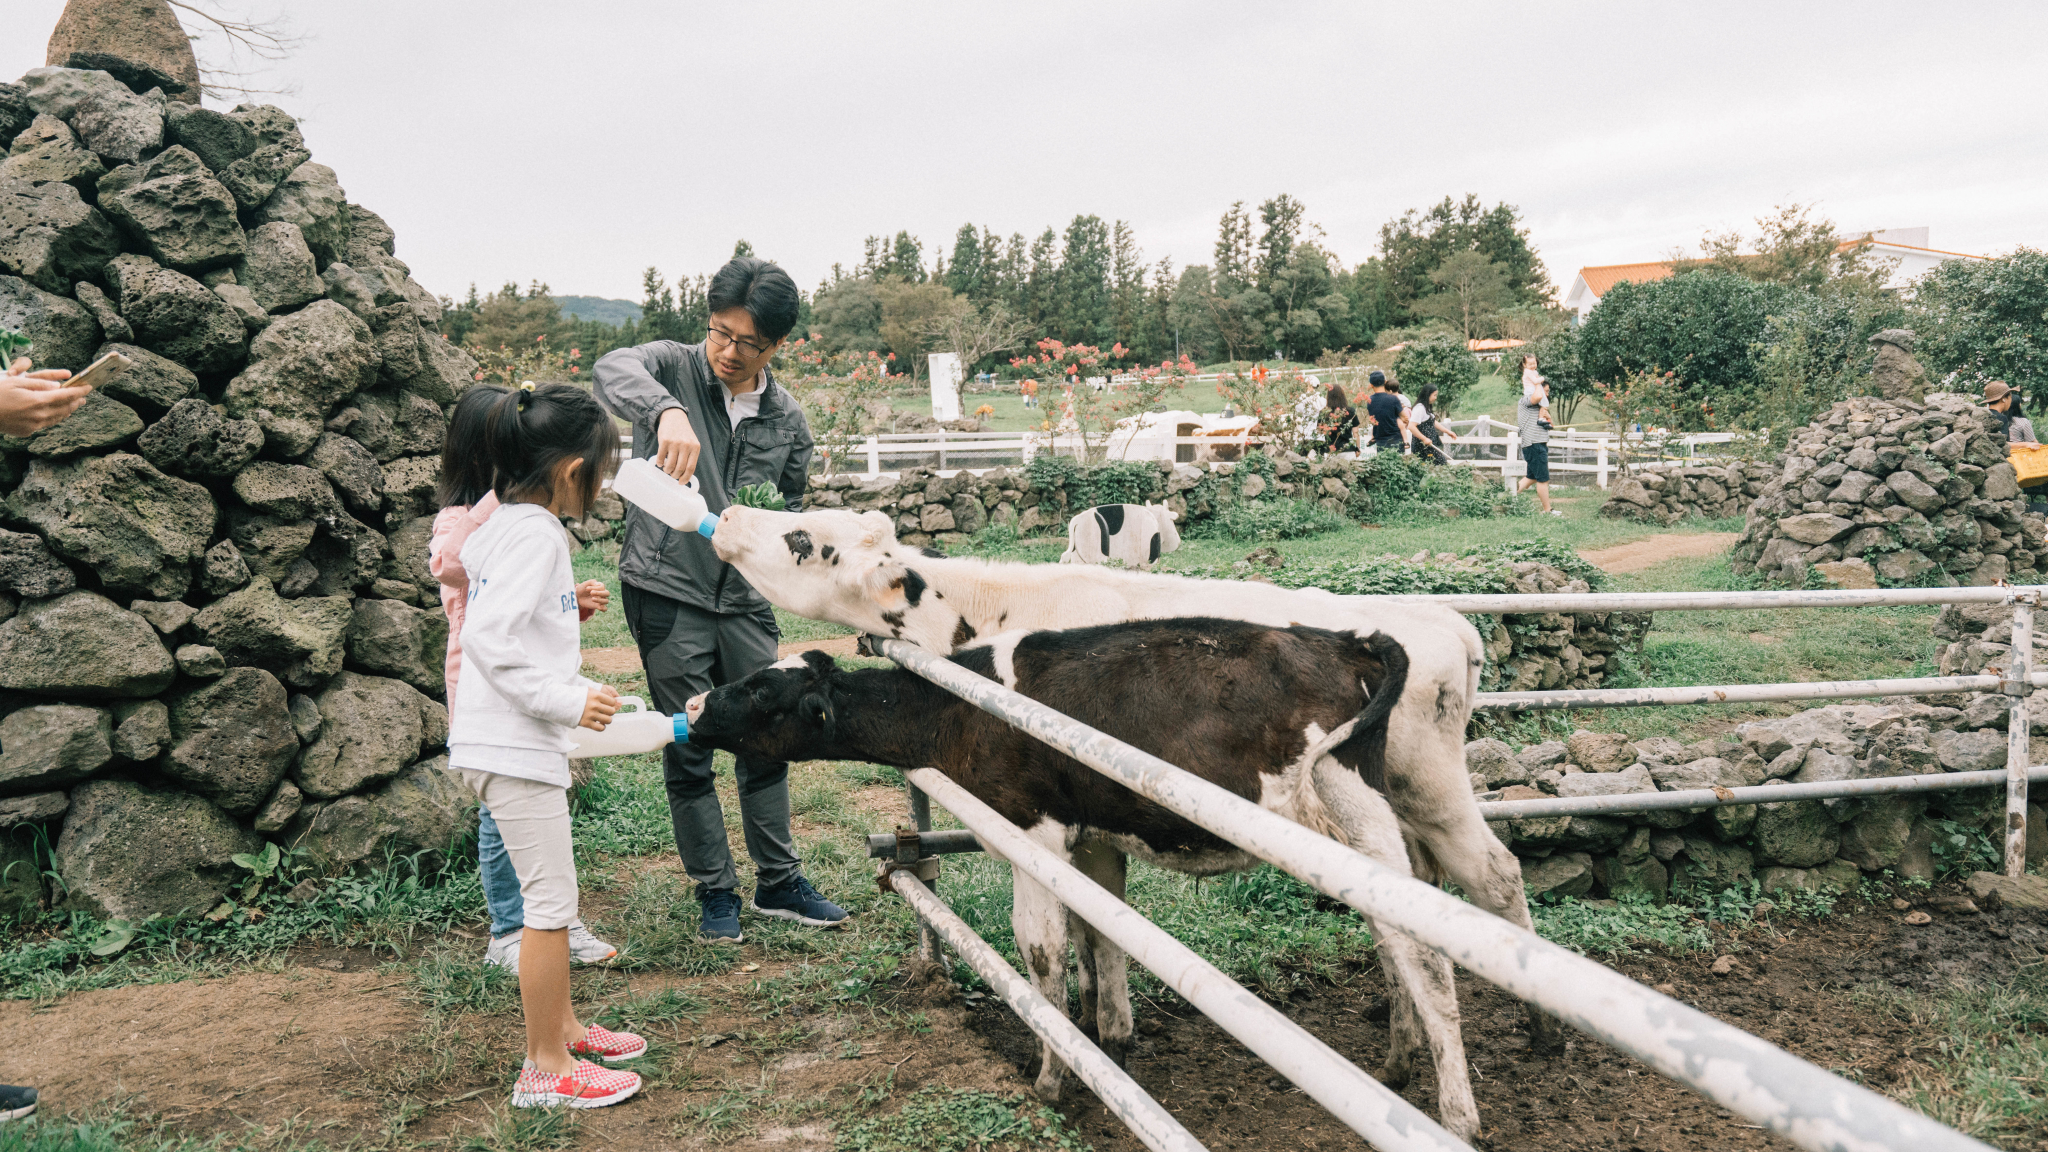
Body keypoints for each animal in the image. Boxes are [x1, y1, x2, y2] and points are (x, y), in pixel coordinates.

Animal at [708, 506, 1564, 1057]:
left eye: (803, 538)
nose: (729, 510)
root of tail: (1445, 625)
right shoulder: (1093, 825)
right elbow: (1098, 934)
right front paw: (1100, 1028)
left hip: (1429, 791)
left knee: (1493, 878)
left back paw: (1543, 1033)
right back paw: (1404, 1040)